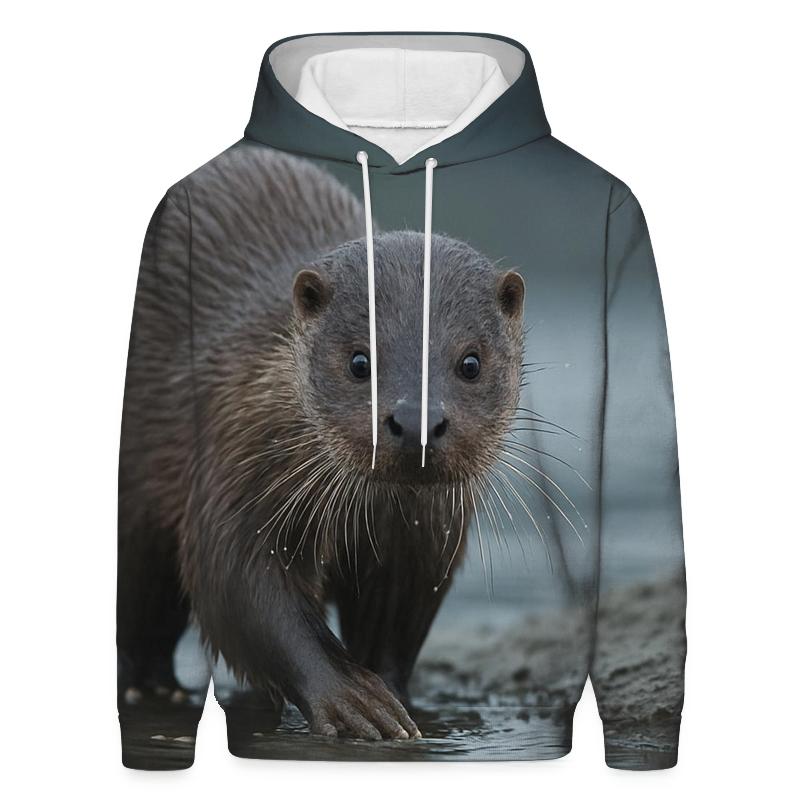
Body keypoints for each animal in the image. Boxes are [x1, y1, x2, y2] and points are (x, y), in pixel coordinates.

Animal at [118, 144, 524, 741]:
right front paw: (355, 699)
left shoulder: (422, 542)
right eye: (359, 361)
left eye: (470, 362)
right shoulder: (236, 466)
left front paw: (394, 697)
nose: (415, 421)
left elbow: (394, 626)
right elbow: (238, 584)